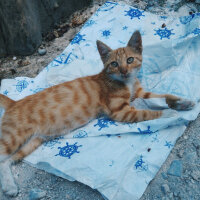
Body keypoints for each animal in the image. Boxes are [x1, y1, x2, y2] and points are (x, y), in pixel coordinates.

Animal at [0, 30, 195, 196]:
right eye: (114, 64)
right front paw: (170, 113)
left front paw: (183, 102)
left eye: (130, 60)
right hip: (14, 136)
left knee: (6, 161)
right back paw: (9, 187)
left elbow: (163, 96)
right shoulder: (120, 111)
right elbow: (148, 112)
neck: (127, 83)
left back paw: (10, 186)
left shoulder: (140, 93)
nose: (124, 71)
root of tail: (13, 102)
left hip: (32, 141)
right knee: (2, 156)